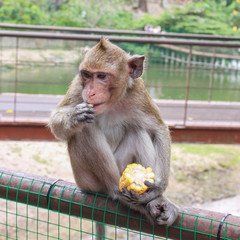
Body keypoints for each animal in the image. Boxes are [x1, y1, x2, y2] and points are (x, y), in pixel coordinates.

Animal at [49, 38, 178, 238]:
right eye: (87, 75)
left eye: (102, 76)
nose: (90, 92)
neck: (111, 103)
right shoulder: (79, 86)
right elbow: (56, 122)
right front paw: (75, 117)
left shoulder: (138, 91)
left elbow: (159, 129)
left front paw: (157, 189)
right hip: (86, 181)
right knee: (86, 129)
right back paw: (119, 194)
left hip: (122, 166)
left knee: (138, 131)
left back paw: (152, 201)